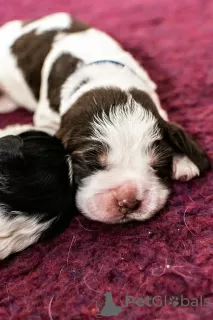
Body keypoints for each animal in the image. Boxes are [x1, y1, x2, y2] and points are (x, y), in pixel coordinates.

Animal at [0, 13, 211, 224]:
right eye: (91, 163)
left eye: (157, 165)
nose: (128, 201)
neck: (107, 80)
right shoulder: (47, 117)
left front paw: (183, 160)